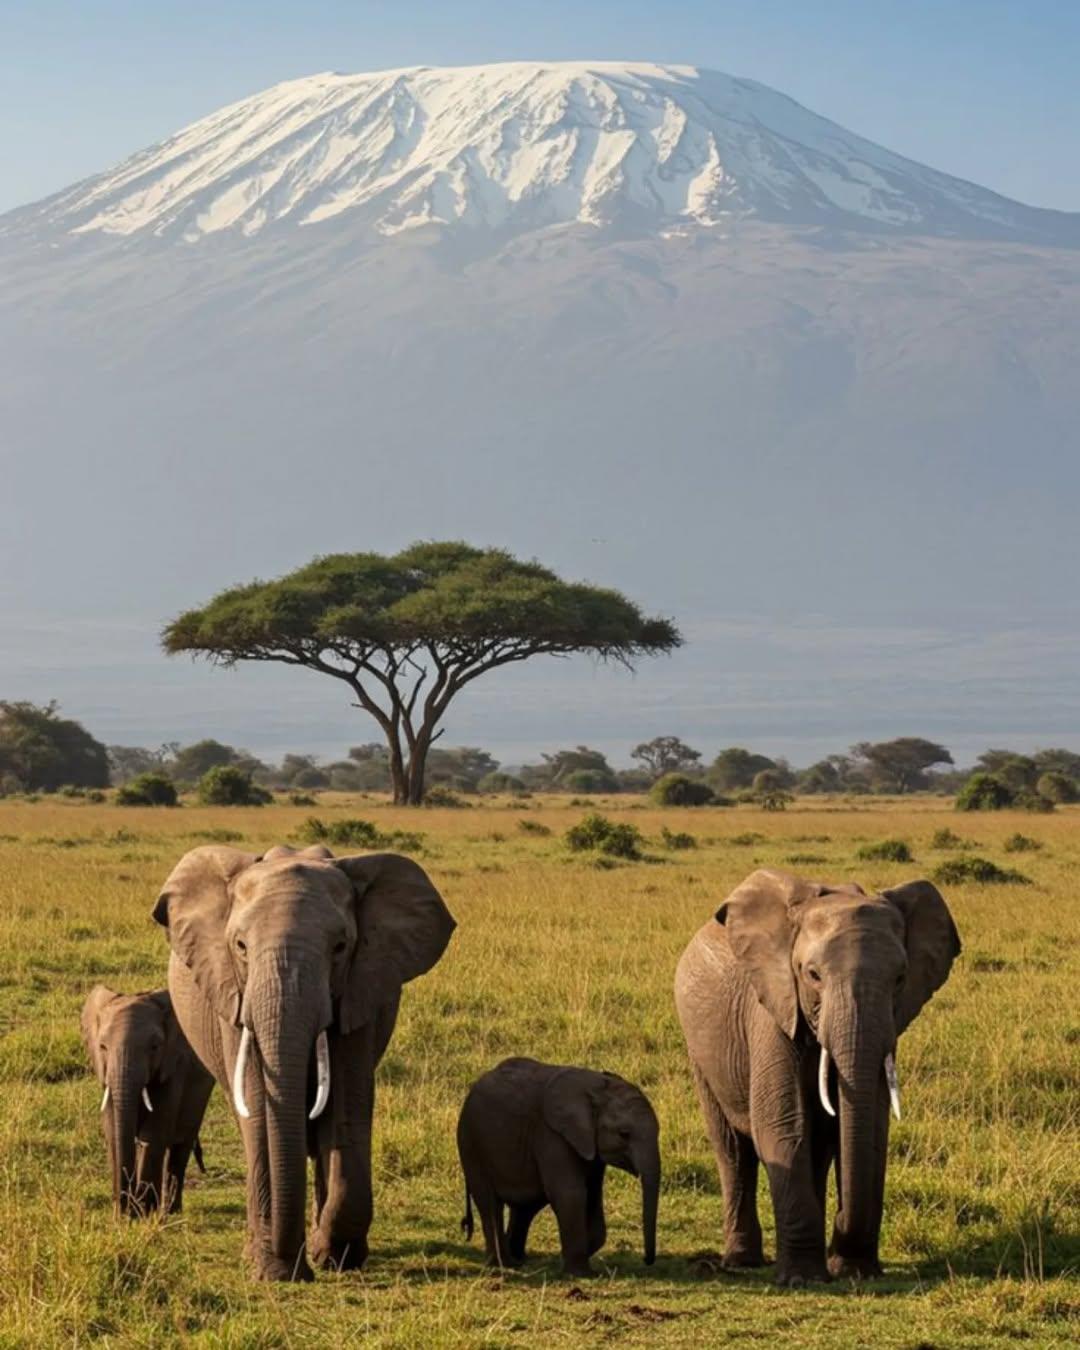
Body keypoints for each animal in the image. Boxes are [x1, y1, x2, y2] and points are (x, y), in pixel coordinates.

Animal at [80, 985, 214, 1216]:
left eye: (155, 1047)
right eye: (103, 1047)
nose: (124, 1209)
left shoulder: (173, 1067)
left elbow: (154, 1132)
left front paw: (141, 1213)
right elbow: (113, 1130)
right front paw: (124, 1213)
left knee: (181, 1147)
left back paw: (171, 1211)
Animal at [152, 843, 456, 1282]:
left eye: (341, 947)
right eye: (240, 947)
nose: (298, 1268)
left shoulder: (360, 990)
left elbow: (346, 1109)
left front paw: (332, 1255)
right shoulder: (233, 996)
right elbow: (259, 1115)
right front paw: (274, 1269)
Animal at [457, 1057, 660, 1276]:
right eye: (624, 1134)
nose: (646, 1260)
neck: (596, 1089)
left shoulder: (590, 1147)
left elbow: (592, 1196)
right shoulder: (552, 1135)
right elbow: (571, 1194)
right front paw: (580, 1274)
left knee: (526, 1206)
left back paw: (518, 1260)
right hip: (471, 1144)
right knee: (489, 1202)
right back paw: (503, 1264)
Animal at [674, 868, 959, 1286]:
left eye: (900, 978)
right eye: (812, 975)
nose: (843, 1234)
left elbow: (870, 1129)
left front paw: (854, 1270)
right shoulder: (772, 1008)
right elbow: (783, 1125)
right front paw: (803, 1279)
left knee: (819, 1148)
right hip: (701, 1051)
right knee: (732, 1149)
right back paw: (742, 1261)